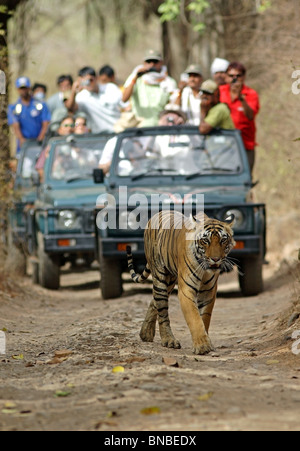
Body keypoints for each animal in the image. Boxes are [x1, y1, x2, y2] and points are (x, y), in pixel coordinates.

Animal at [125, 212, 236, 356]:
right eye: (205, 240)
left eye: (223, 240)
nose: (215, 259)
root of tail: (155, 215)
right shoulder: (186, 290)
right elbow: (195, 318)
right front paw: (202, 346)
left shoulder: (208, 292)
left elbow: (204, 319)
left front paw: (206, 342)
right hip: (160, 277)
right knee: (162, 311)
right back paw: (168, 340)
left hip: (170, 281)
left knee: (154, 302)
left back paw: (146, 333)